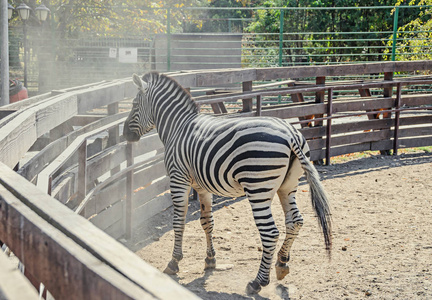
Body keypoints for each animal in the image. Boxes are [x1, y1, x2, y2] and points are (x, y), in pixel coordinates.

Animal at [123, 71, 332, 294]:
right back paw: (282, 264)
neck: (177, 126)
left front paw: (174, 262)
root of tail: (290, 133)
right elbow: (207, 221)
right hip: (288, 186)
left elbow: (178, 221)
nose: (125, 133)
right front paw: (210, 260)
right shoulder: (202, 186)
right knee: (295, 221)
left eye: (134, 104)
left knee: (270, 232)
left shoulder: (178, 179)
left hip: (258, 188)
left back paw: (258, 282)